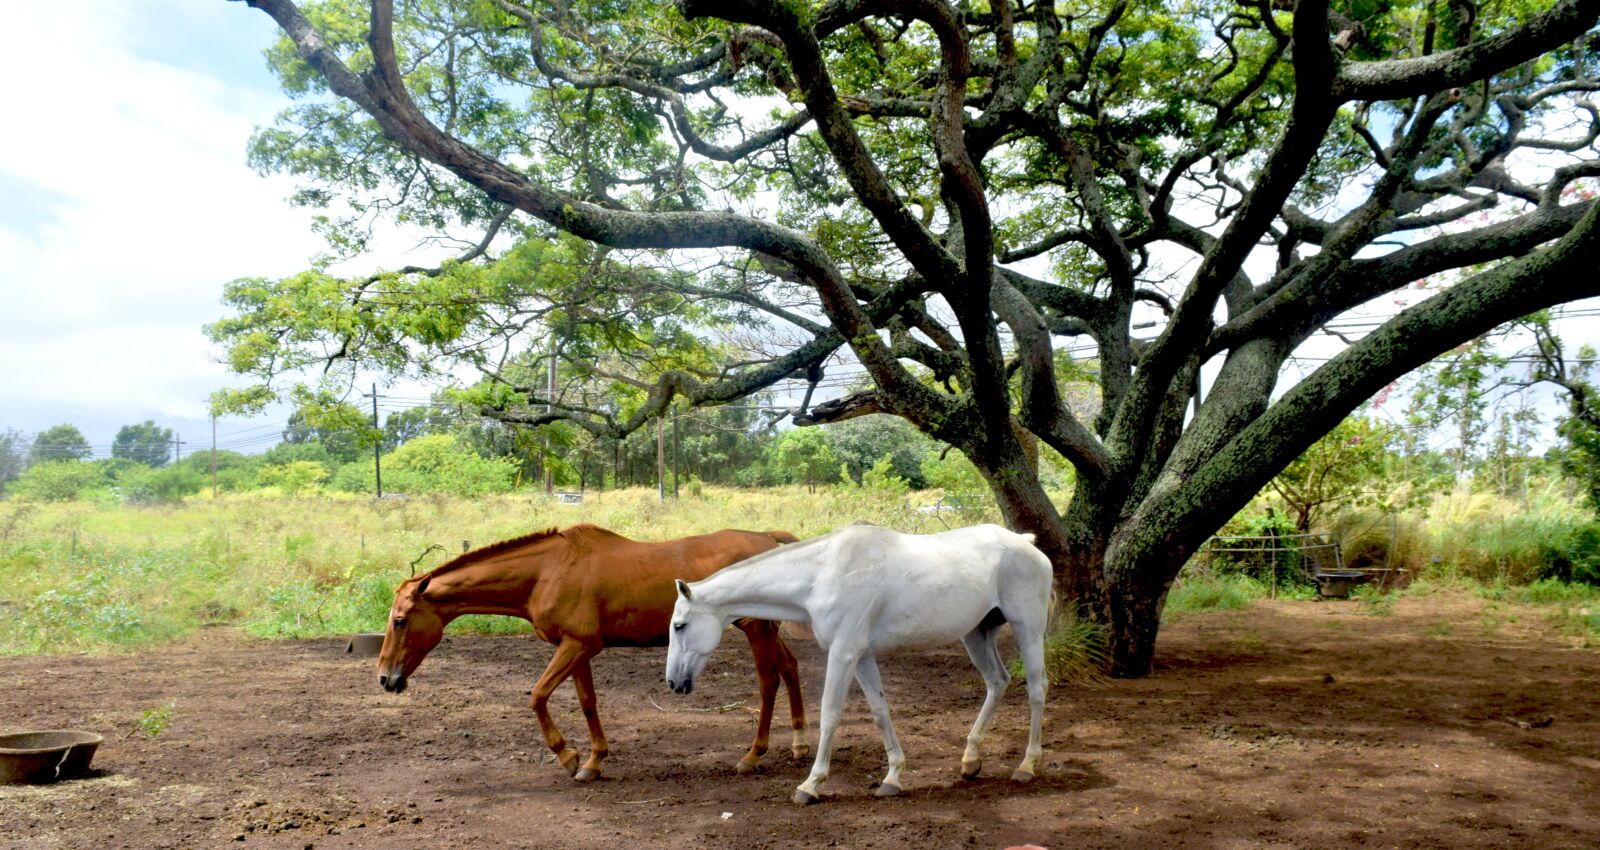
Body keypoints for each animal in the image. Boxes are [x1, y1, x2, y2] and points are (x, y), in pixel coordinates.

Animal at [377, 523, 808, 782]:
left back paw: (753, 756)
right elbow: (587, 702)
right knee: (790, 667)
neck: (545, 572)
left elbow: (537, 696)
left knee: (768, 682)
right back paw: (800, 744)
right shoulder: (577, 648)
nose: (385, 677)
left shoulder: (576, 645)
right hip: (764, 629)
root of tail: (766, 539)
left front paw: (567, 755)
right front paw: (593, 760)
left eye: (399, 620)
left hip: (756, 629)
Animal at [666, 522, 1053, 805]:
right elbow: (881, 712)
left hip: (1028, 628)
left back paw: (1027, 765)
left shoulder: (843, 653)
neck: (823, 573)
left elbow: (830, 715)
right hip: (976, 635)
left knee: (1036, 689)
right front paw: (893, 777)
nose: (673, 682)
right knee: (997, 682)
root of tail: (1025, 543)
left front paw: (810, 784)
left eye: (679, 625)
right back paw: (971, 760)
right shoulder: (862, 657)